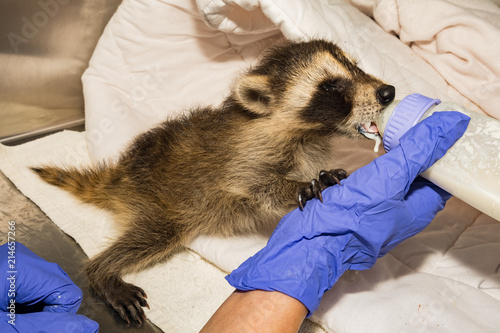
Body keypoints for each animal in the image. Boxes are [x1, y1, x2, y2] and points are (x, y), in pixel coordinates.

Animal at [32, 39, 394, 324]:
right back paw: (103, 271)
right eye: (330, 86)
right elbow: (258, 186)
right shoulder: (242, 158)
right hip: (157, 205)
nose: (387, 92)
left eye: (355, 68)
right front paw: (297, 187)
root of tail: (122, 175)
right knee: (150, 237)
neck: (306, 133)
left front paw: (323, 176)